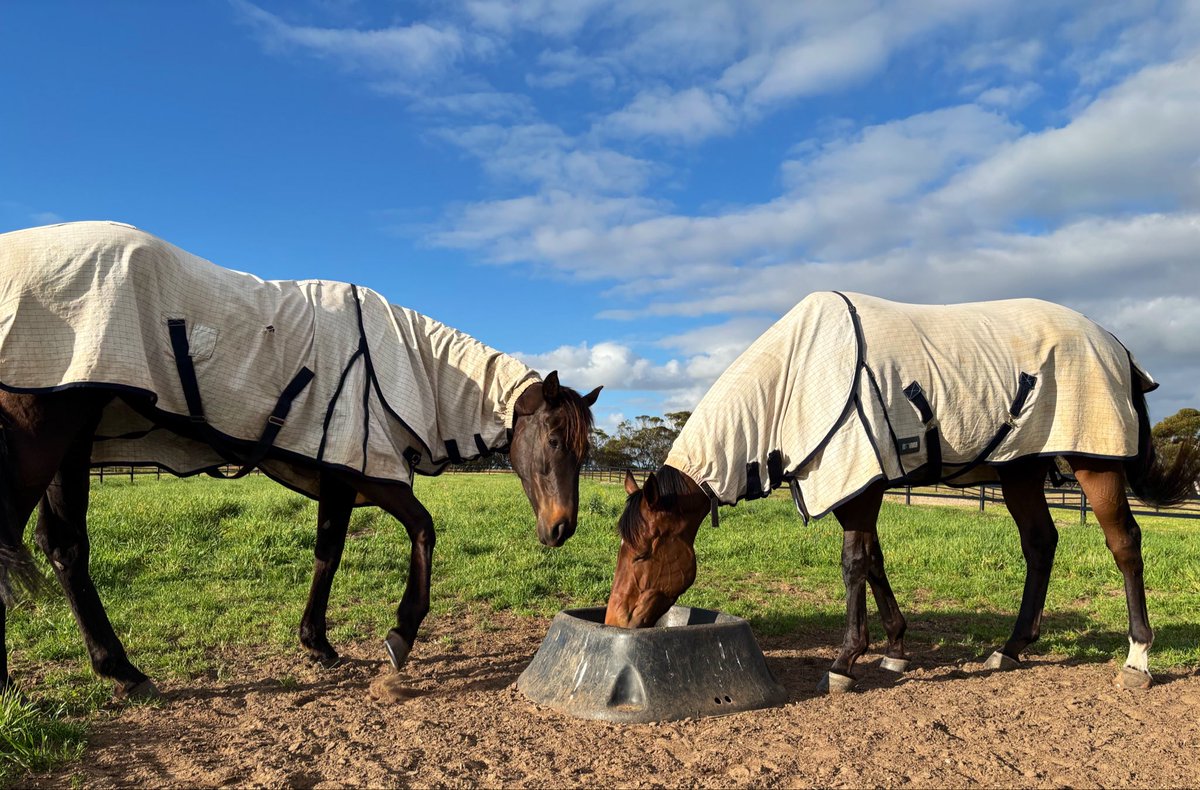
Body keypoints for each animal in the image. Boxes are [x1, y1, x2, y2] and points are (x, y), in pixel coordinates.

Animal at [0, 221, 600, 701]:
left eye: (584, 450)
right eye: (552, 439)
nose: (562, 528)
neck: (403, 361)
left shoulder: (349, 475)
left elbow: (350, 547)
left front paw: (325, 642)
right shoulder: (359, 468)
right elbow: (393, 537)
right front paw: (391, 637)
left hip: (73, 443)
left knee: (64, 548)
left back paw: (120, 670)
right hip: (40, 441)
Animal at [604, 291, 1198, 693]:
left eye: (643, 552)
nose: (614, 622)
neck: (793, 378)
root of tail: (1114, 343)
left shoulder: (854, 482)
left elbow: (855, 563)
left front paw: (844, 663)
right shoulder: (857, 487)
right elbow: (874, 561)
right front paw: (894, 650)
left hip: (1095, 463)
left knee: (1124, 543)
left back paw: (1137, 660)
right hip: (1019, 471)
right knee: (1039, 544)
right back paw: (1009, 650)